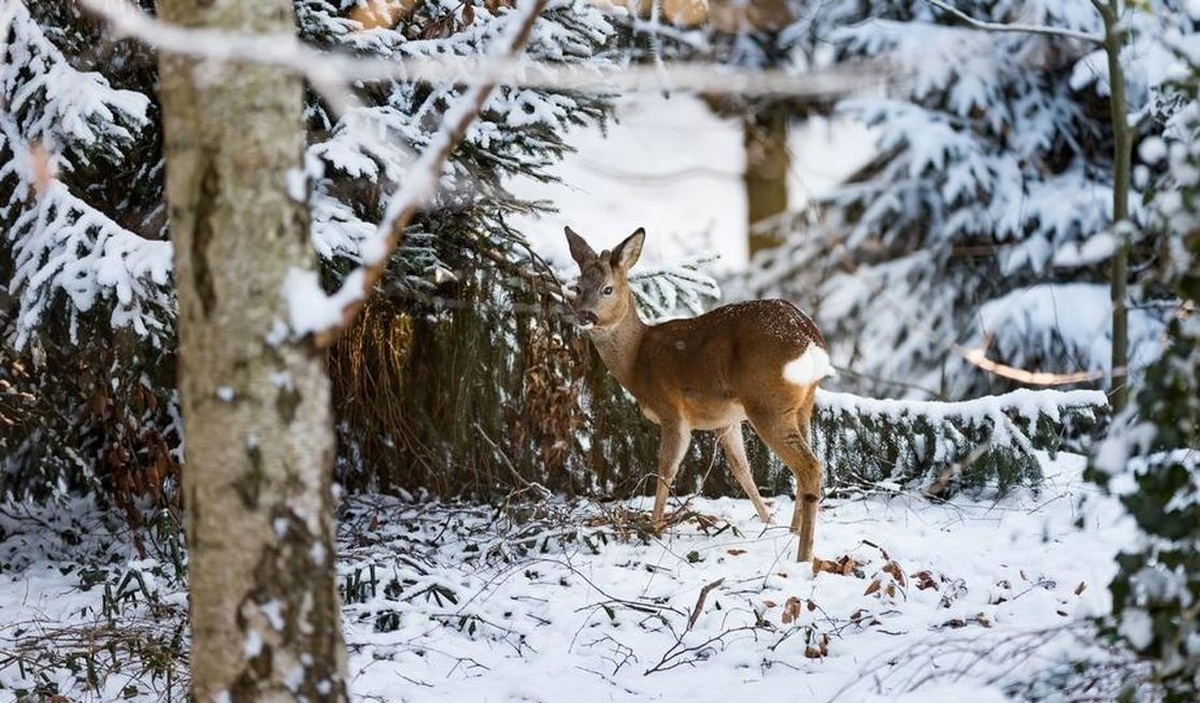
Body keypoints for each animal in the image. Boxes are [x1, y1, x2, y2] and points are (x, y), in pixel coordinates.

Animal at [564, 224, 835, 559]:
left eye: (607, 289)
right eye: (577, 288)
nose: (584, 317)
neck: (636, 360)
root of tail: (809, 338)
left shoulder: (672, 410)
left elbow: (666, 469)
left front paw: (654, 528)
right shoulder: (725, 419)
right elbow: (741, 469)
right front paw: (768, 522)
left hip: (768, 402)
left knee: (810, 467)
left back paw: (803, 555)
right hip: (803, 403)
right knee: (805, 465)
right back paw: (792, 531)